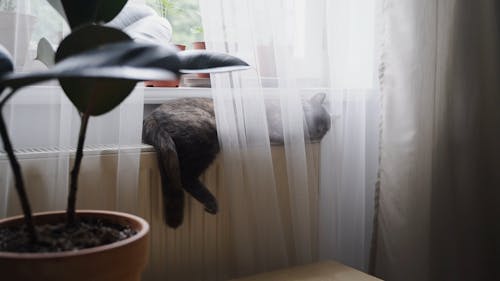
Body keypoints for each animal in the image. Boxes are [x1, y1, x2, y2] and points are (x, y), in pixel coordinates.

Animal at [142, 92, 328, 228]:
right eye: (318, 121)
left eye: (325, 129)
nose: (320, 133)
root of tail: (151, 116)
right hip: (208, 134)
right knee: (185, 176)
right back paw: (211, 201)